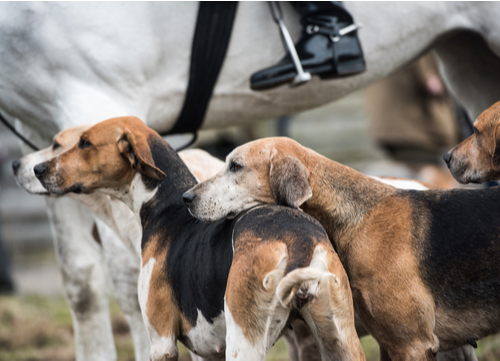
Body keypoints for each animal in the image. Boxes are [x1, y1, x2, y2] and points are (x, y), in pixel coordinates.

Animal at [33, 117, 366, 360]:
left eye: (84, 143)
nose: (38, 169)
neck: (165, 205)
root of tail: (298, 240)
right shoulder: (206, 352)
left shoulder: (162, 344)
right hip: (341, 342)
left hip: (244, 344)